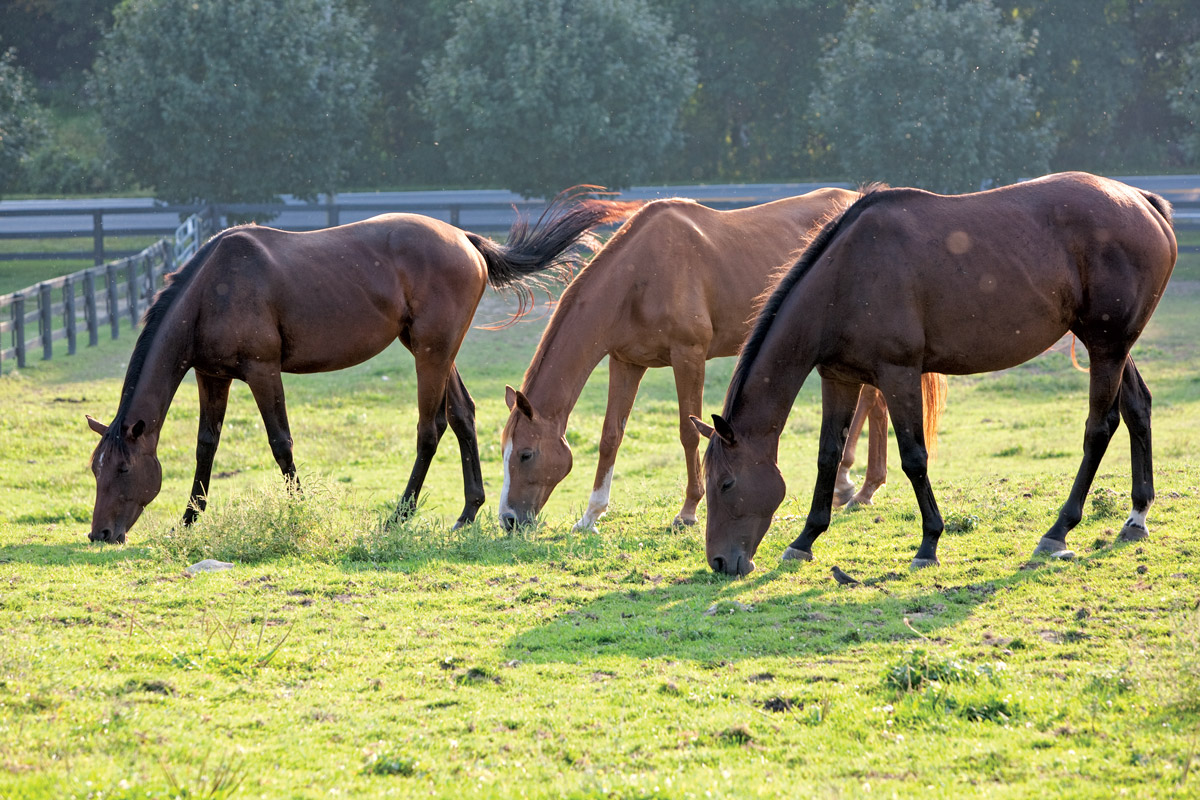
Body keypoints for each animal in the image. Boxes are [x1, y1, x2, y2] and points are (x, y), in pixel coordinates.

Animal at [85, 190, 633, 546]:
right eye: (96, 468)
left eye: (124, 468)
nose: (101, 533)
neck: (214, 288)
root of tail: (465, 237)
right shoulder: (212, 375)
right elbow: (206, 447)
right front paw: (188, 520)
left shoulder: (262, 371)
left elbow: (280, 443)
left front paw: (300, 511)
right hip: (435, 351)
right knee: (463, 417)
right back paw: (466, 513)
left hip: (431, 352)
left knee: (431, 427)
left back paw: (401, 515)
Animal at [496, 189, 945, 532]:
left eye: (525, 454)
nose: (509, 520)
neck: (639, 277)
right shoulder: (626, 362)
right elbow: (611, 436)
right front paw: (591, 515)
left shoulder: (688, 356)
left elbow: (688, 432)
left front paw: (688, 511)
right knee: (874, 402)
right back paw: (861, 487)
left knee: (872, 402)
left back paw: (855, 485)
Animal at [700, 172, 1176, 578]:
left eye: (726, 483)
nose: (721, 562)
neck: (847, 276)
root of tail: (1143, 202)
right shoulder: (839, 378)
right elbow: (827, 456)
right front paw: (805, 539)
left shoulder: (899, 376)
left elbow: (914, 458)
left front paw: (928, 544)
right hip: (1111, 346)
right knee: (1138, 409)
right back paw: (1136, 517)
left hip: (1106, 347)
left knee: (1100, 428)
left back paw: (1058, 531)